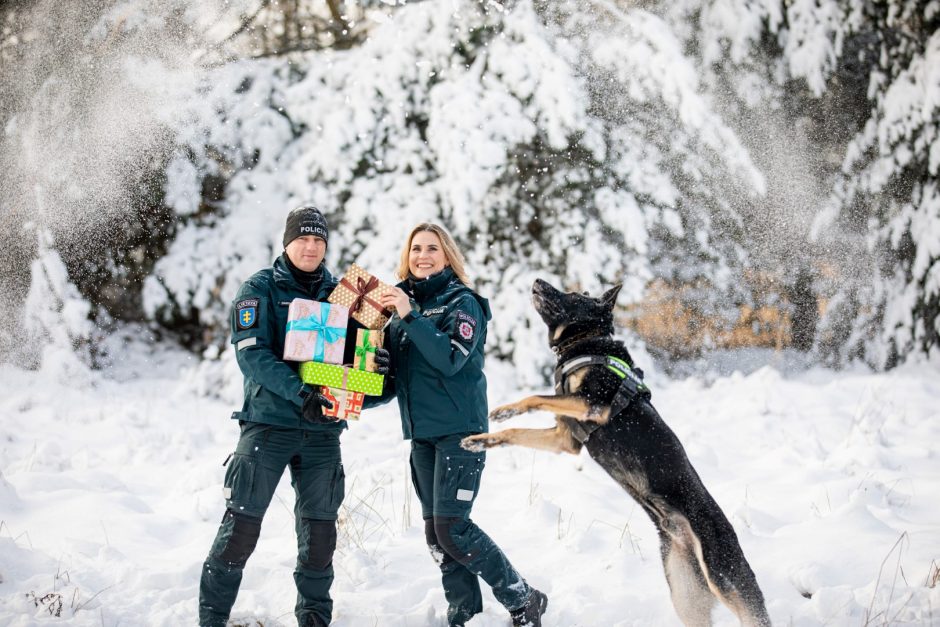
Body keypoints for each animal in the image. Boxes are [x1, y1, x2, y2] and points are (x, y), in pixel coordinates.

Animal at [462, 282, 772, 627]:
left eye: (572, 295)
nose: (539, 281)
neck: (586, 342)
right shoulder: (564, 439)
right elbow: (516, 430)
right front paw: (483, 436)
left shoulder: (592, 405)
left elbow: (534, 397)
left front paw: (506, 410)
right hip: (685, 596)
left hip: (722, 578)